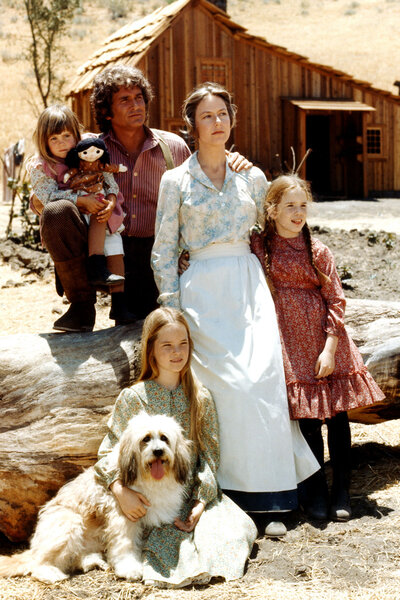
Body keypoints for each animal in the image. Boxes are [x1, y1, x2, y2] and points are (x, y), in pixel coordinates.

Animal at [0, 412, 192, 580]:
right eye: (146, 439)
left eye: (164, 438)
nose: (158, 451)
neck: (147, 478)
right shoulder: (123, 515)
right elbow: (125, 544)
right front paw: (129, 568)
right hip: (69, 522)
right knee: (38, 563)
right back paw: (51, 573)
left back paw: (91, 561)